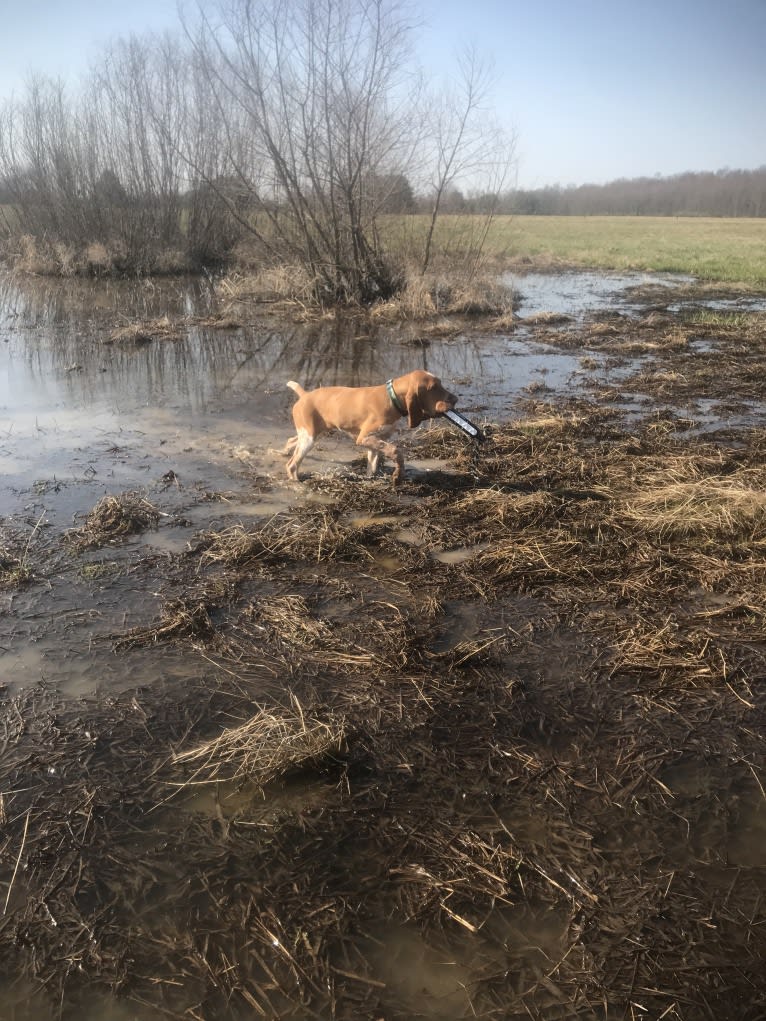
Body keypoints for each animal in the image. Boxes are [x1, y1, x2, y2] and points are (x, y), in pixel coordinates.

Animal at [285, 369, 459, 483]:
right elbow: (396, 451)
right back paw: (297, 484)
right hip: (309, 439)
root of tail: (305, 395)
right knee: (292, 465)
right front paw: (398, 474)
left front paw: (371, 479)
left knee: (291, 441)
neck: (391, 398)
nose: (455, 399)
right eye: (433, 388)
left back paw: (284, 452)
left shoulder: (375, 441)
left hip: (314, 433)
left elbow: (373, 465)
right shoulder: (365, 438)